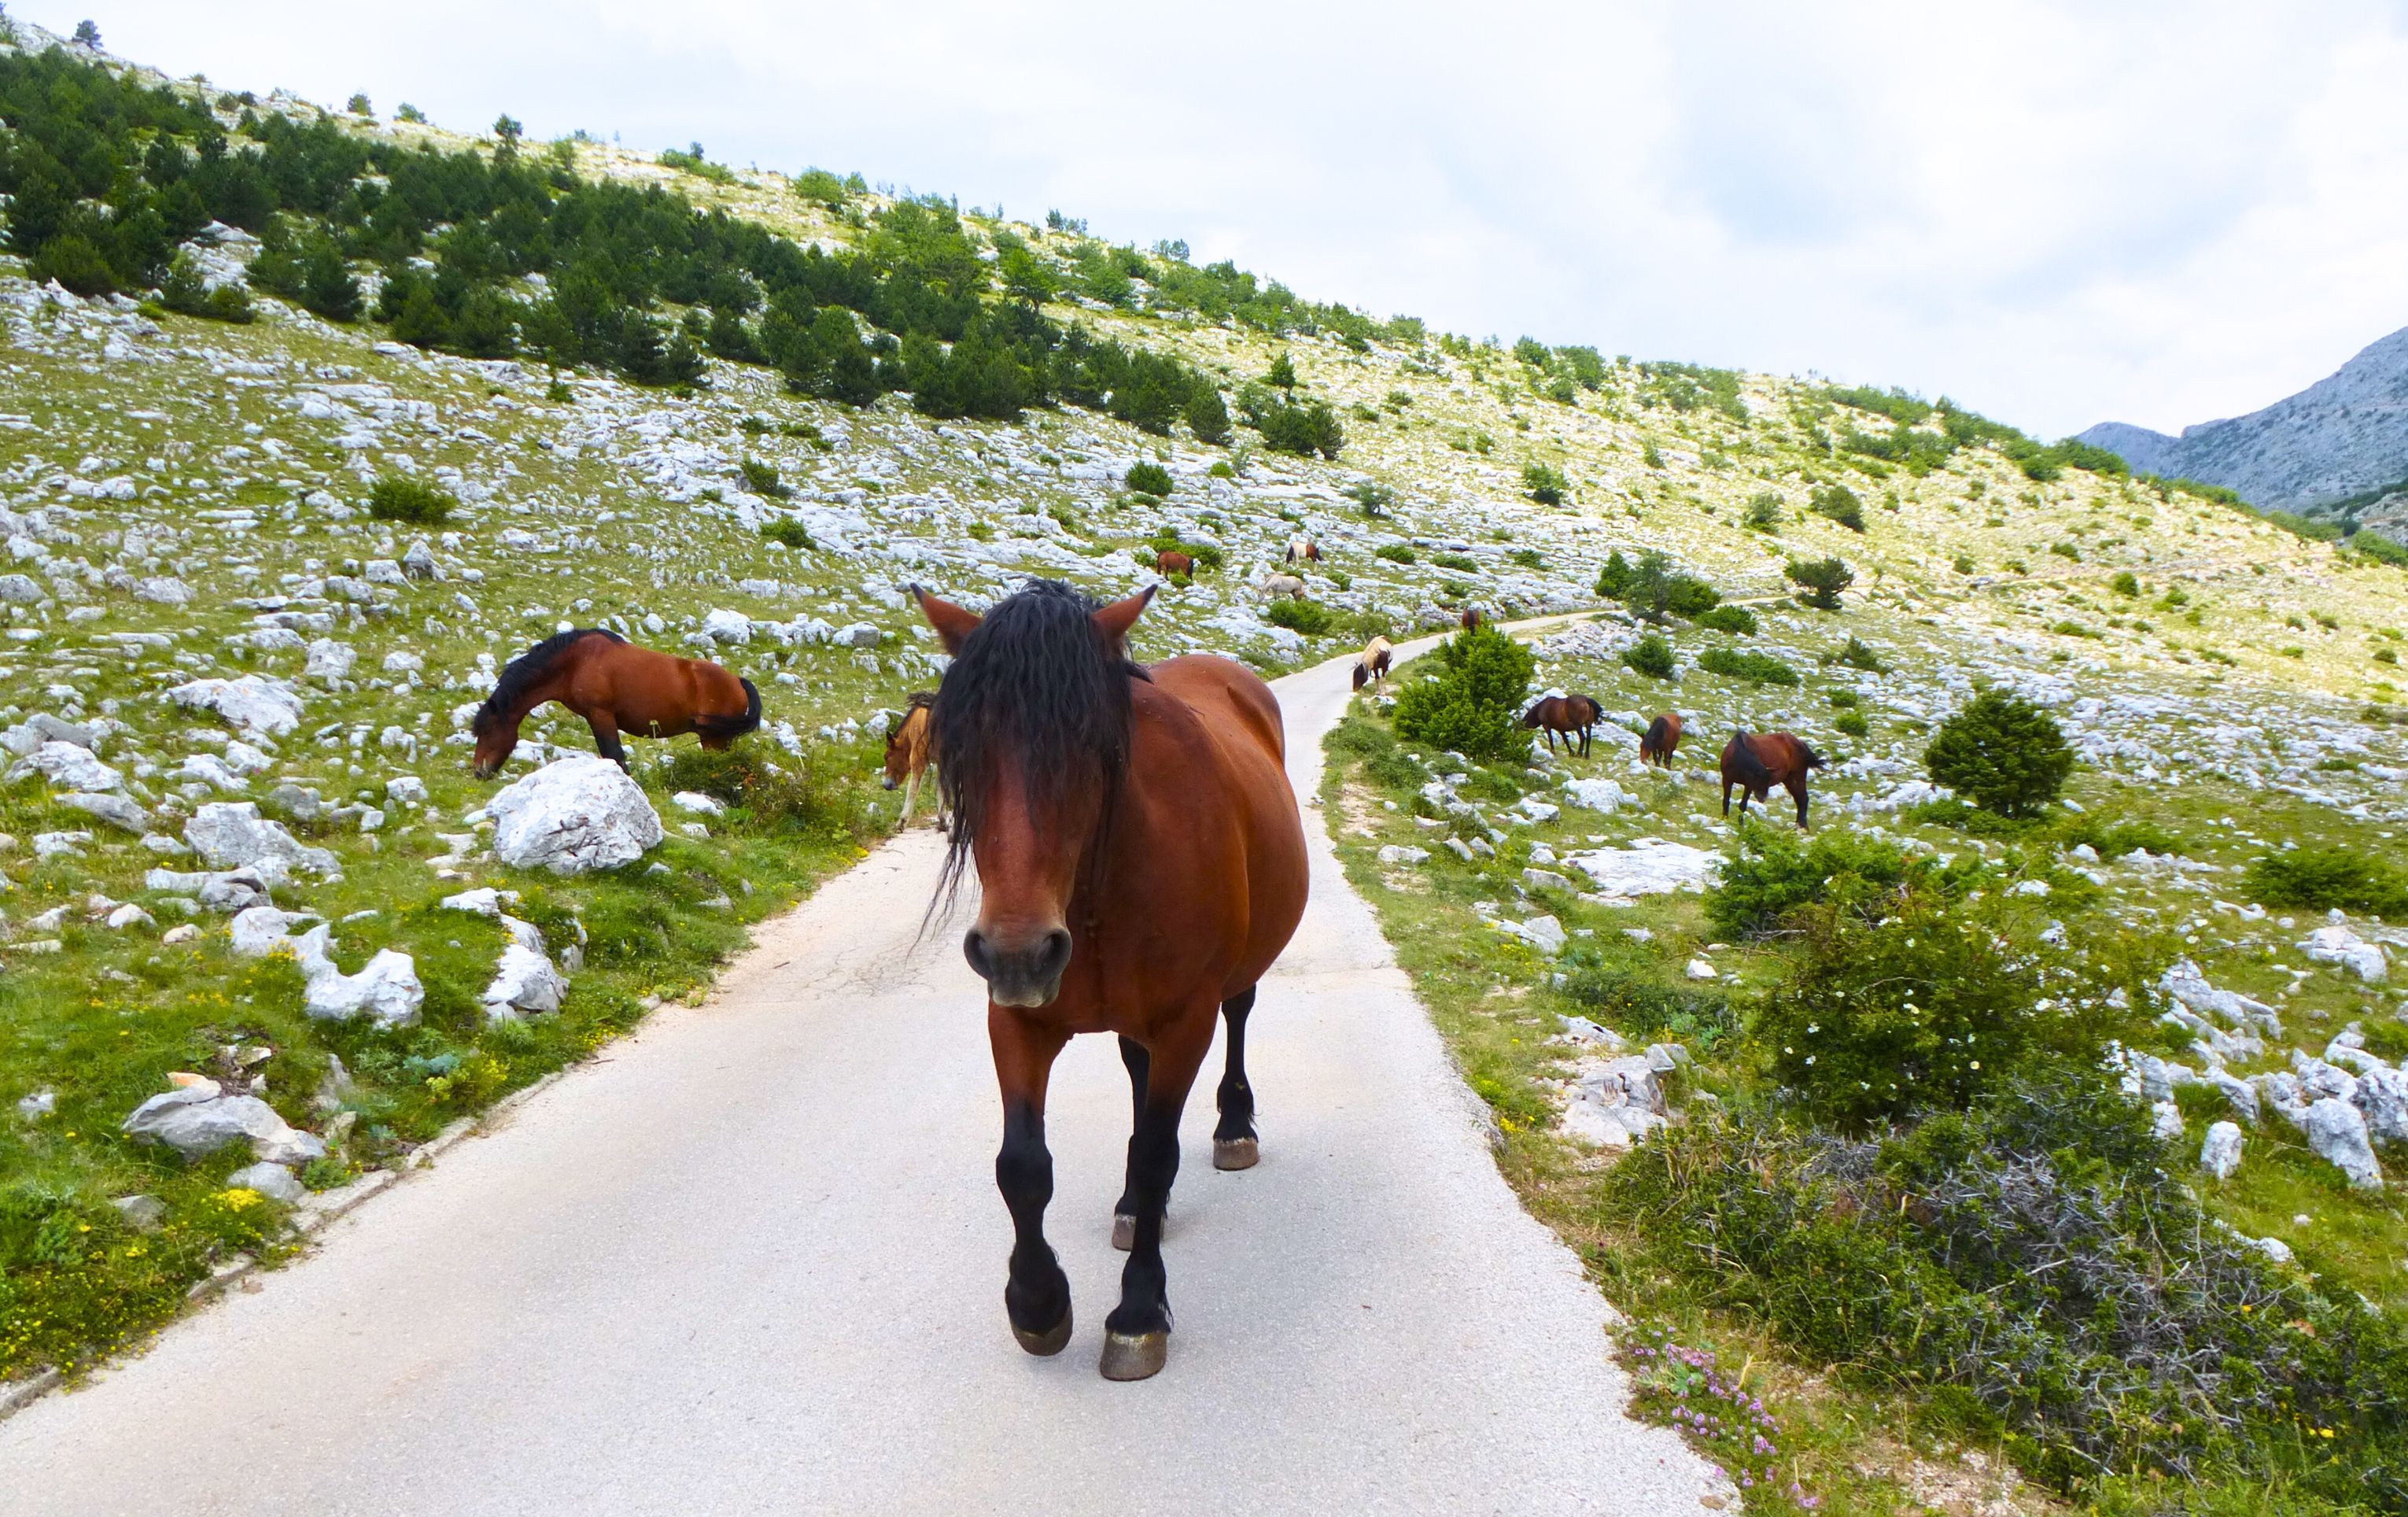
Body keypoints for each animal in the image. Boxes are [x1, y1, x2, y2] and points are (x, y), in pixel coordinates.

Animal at [471, 626, 761, 784]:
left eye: (487, 731)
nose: (479, 772)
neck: (575, 661)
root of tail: (737, 680)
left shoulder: (601, 714)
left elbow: (614, 755)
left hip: (714, 739)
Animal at [910, 575, 1310, 1386]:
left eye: (1093, 746)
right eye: (958, 749)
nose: (1019, 953)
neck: (1097, 888)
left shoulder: (1185, 1023)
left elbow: (1159, 1155)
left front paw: (1136, 1314)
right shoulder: (1016, 1020)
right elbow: (1022, 1166)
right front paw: (1037, 1304)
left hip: (1230, 987)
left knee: (1238, 1018)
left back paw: (1232, 1126)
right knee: (1133, 1069)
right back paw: (1127, 1209)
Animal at [1724, 727, 1830, 832]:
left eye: (1768, 782)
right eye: (1758, 781)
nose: (1762, 798)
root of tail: (1800, 743)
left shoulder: (1748, 785)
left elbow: (1743, 805)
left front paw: (1741, 825)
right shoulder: (1727, 780)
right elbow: (1726, 801)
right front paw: (1724, 819)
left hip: (1799, 774)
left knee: (1803, 798)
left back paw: (1803, 826)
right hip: (1788, 779)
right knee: (1799, 798)